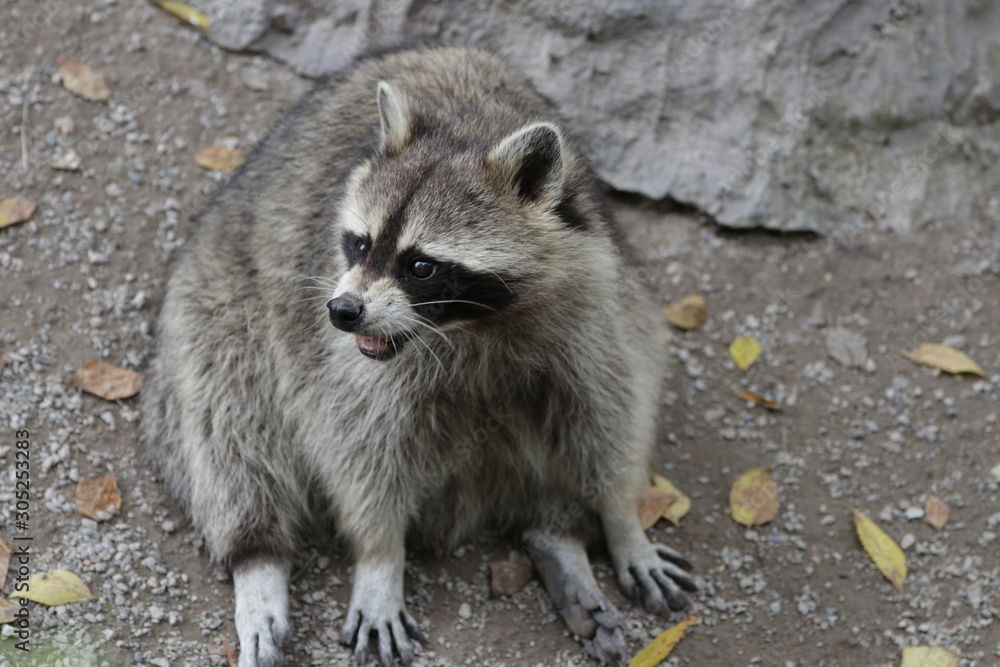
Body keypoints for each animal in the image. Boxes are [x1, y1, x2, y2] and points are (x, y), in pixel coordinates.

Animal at [141, 46, 696, 666]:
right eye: (360, 244)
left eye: (421, 266)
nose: (342, 311)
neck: (475, 329)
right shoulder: (344, 365)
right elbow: (357, 446)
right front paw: (380, 560)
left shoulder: (597, 314)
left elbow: (613, 414)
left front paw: (623, 520)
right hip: (215, 308)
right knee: (228, 421)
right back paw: (258, 559)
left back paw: (558, 539)